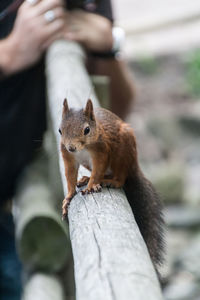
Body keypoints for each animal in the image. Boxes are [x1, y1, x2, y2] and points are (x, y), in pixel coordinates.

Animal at [59, 98, 164, 272]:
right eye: (60, 130)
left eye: (86, 130)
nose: (71, 147)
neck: (83, 149)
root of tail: (134, 166)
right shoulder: (68, 157)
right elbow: (69, 177)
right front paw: (68, 197)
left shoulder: (102, 151)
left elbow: (98, 169)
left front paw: (92, 185)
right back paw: (87, 178)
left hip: (123, 152)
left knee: (120, 178)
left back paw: (109, 181)